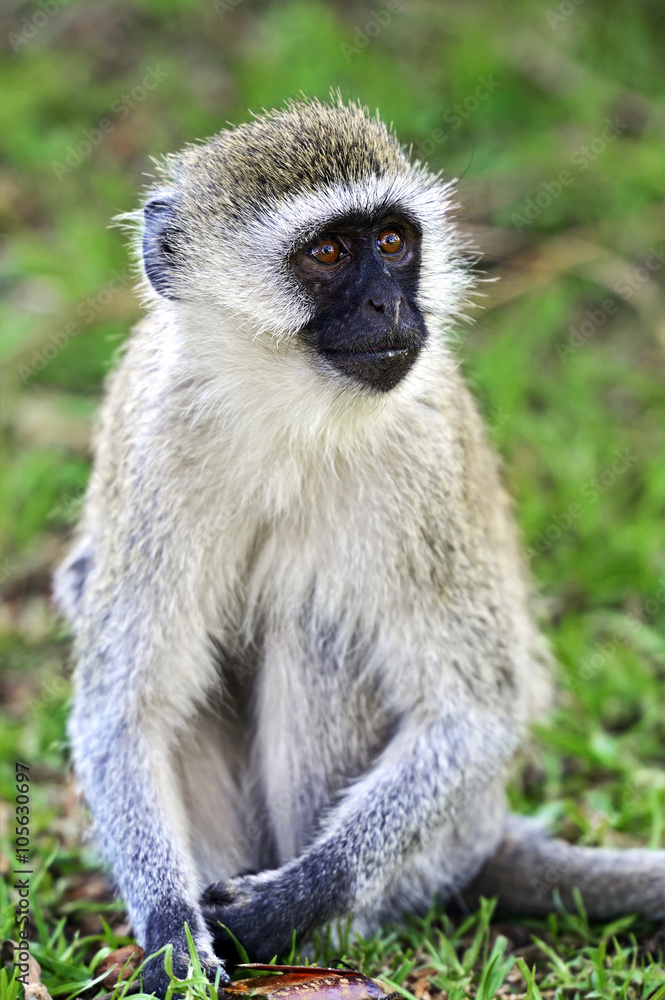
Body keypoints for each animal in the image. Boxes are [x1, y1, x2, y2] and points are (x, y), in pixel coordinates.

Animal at [57, 97, 664, 996]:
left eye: (391, 242)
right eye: (329, 252)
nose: (389, 309)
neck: (285, 409)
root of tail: (487, 831)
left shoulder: (424, 451)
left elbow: (472, 712)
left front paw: (291, 900)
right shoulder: (154, 435)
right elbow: (126, 711)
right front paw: (170, 933)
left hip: (436, 851)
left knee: (316, 622)